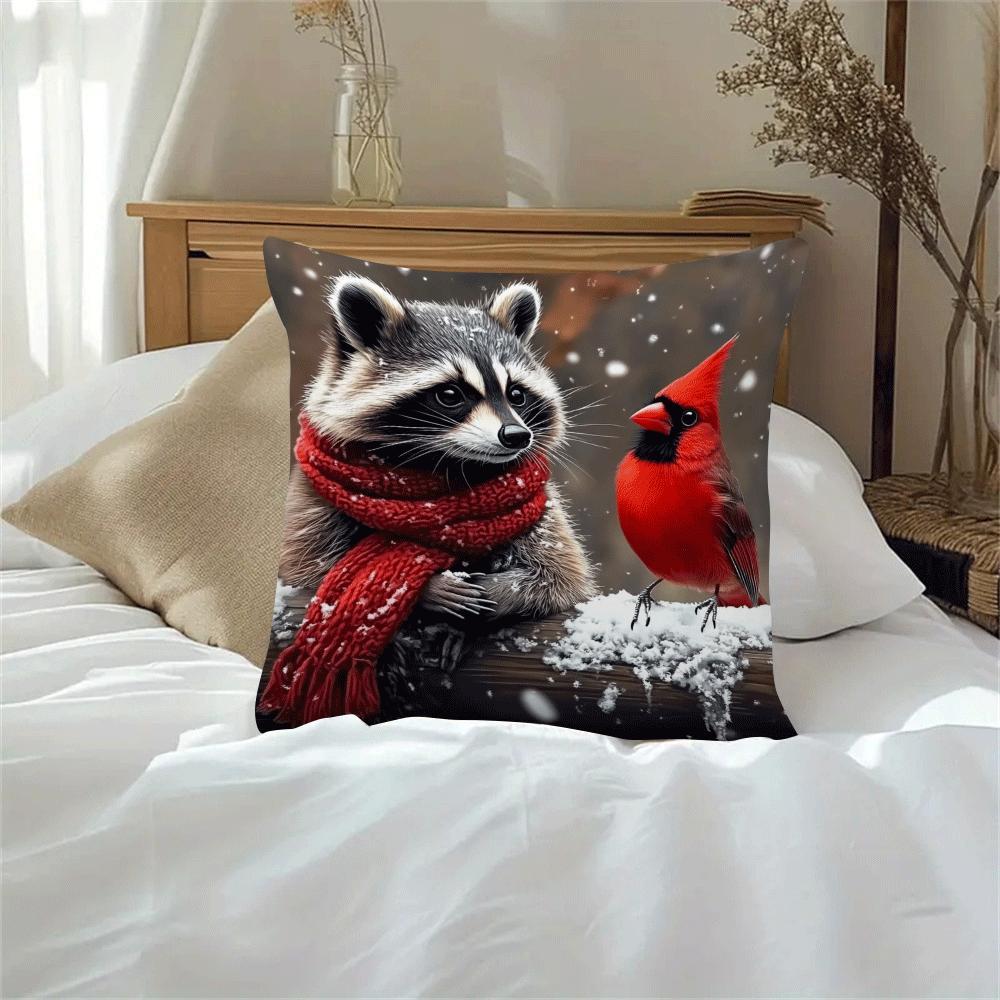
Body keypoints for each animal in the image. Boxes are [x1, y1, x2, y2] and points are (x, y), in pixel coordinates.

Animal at [279, 273, 595, 623]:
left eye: (516, 394)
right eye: (450, 395)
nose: (516, 435)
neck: (449, 466)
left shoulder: (542, 513)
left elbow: (563, 577)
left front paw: (502, 590)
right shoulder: (313, 506)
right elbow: (312, 572)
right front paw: (427, 588)